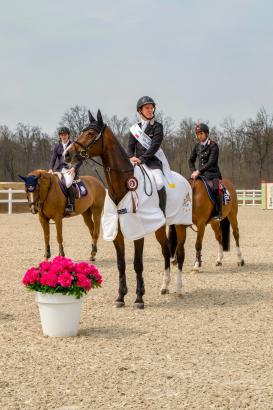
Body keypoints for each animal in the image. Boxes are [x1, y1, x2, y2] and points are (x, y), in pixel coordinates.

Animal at [63, 110, 187, 310]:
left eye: (90, 133)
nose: (67, 154)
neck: (123, 183)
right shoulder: (117, 231)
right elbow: (121, 264)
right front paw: (121, 296)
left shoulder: (138, 230)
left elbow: (137, 264)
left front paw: (139, 298)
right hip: (160, 227)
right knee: (167, 250)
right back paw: (164, 286)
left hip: (180, 224)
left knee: (180, 254)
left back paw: (179, 288)